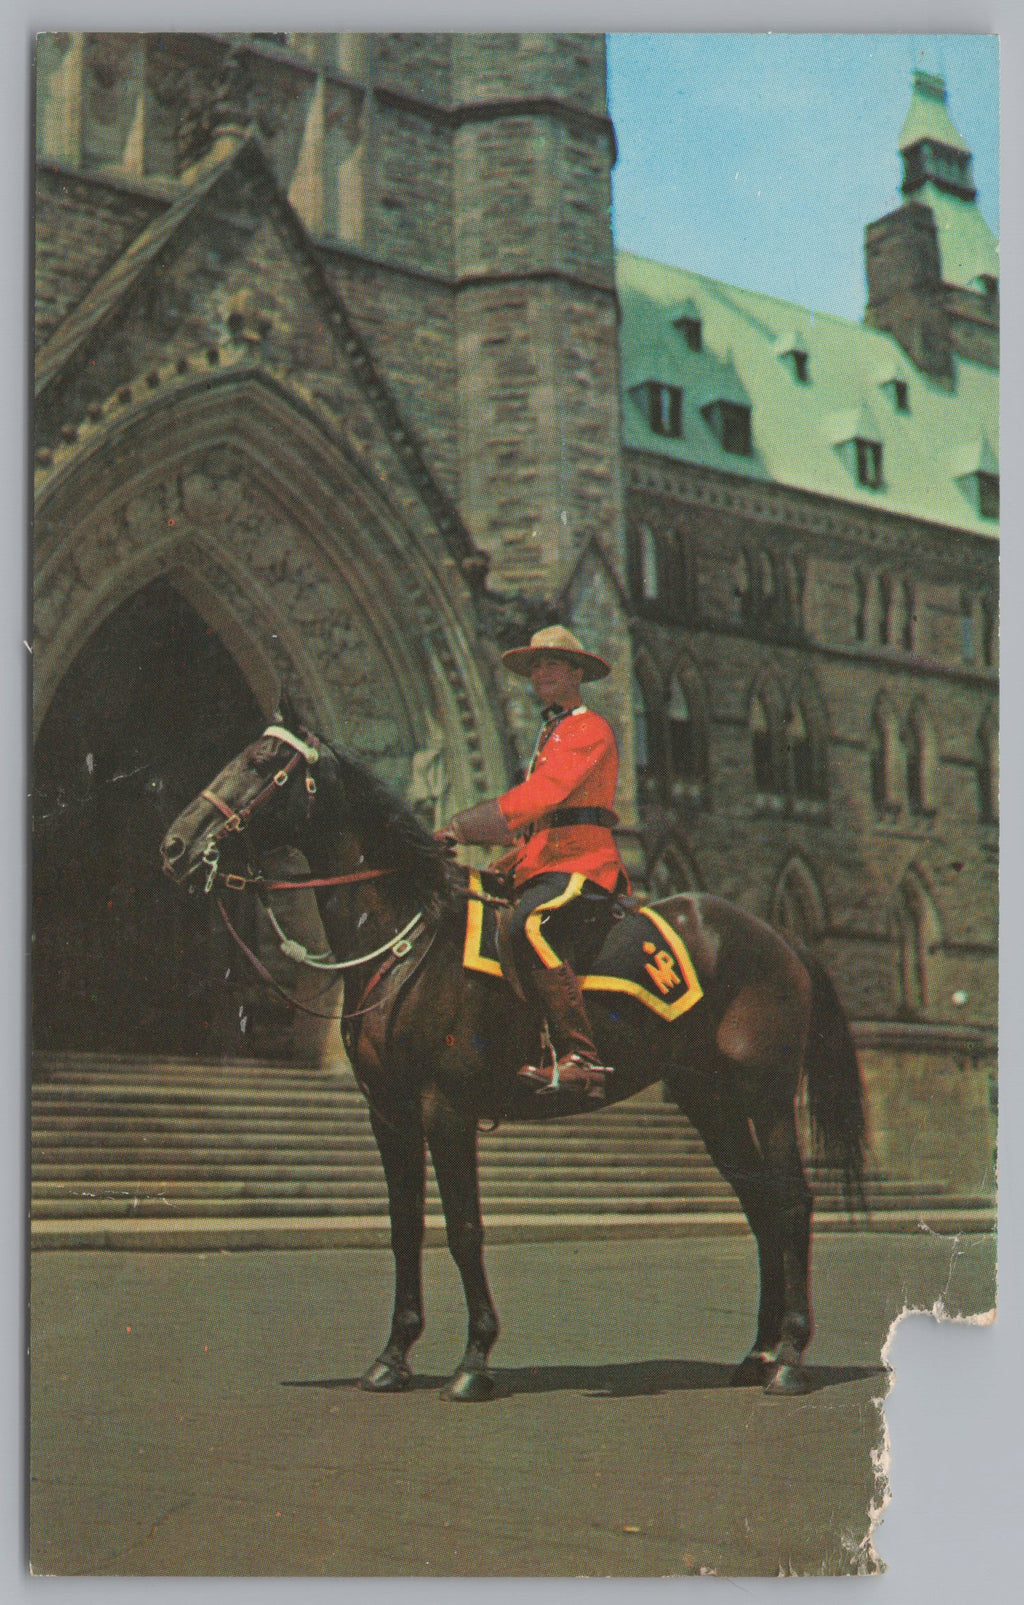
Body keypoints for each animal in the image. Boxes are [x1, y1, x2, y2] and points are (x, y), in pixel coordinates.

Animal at [160, 722, 866, 1399]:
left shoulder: (446, 1109)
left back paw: (789, 1359)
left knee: (793, 1201)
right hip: (708, 1099)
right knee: (759, 1204)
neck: (407, 940)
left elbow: (465, 1229)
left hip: (766, 1094)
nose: (174, 846)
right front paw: (392, 1359)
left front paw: (474, 1361)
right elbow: (404, 1228)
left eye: (261, 763)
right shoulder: (388, 1114)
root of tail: (782, 938)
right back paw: (757, 1352)